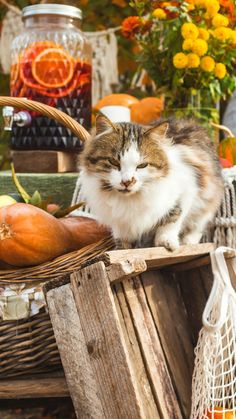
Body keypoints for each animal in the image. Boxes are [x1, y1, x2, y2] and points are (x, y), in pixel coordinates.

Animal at [79, 113, 223, 251]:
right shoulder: (119, 221)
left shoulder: (185, 192)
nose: (127, 182)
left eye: (142, 165)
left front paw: (166, 242)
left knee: (196, 227)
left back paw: (188, 242)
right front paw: (122, 249)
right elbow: (122, 236)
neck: (130, 200)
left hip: (206, 202)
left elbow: (172, 220)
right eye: (113, 162)